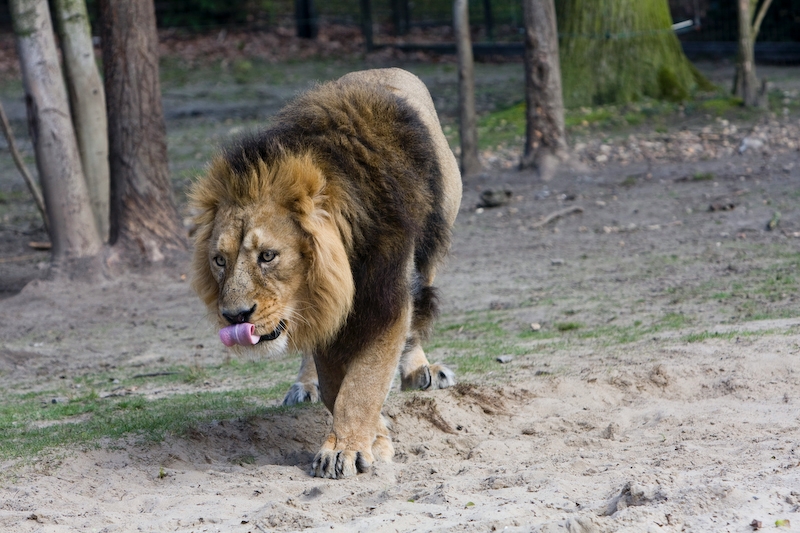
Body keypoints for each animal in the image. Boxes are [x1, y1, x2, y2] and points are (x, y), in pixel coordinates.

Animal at [190, 68, 462, 479]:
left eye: (268, 256)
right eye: (220, 261)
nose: (234, 317)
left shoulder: (386, 296)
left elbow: (365, 380)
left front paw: (346, 449)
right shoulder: (324, 303)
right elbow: (337, 386)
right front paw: (371, 436)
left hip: (436, 237)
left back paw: (420, 370)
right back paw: (305, 385)